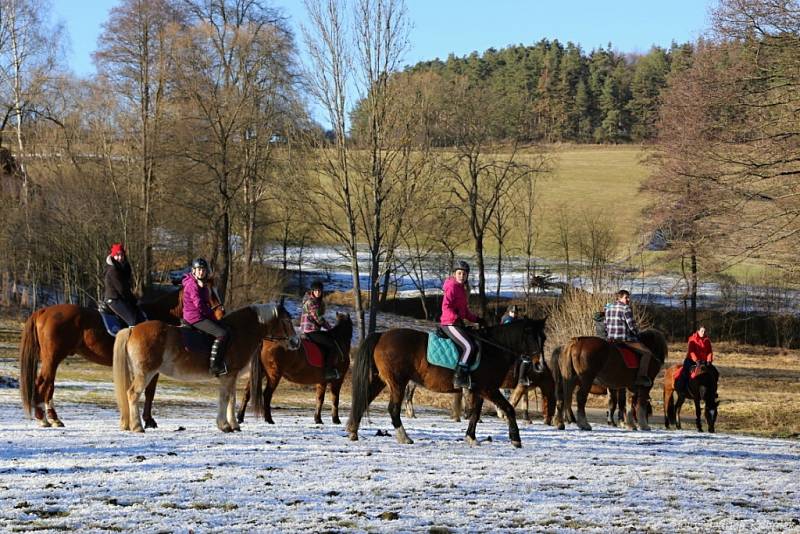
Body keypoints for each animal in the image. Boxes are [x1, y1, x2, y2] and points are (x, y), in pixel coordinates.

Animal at [19, 282, 225, 430]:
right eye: (207, 293)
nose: (221, 313)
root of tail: (44, 310)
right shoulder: (152, 368)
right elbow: (150, 392)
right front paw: (148, 420)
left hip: (52, 358)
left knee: (47, 385)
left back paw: (49, 418)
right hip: (52, 358)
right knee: (44, 384)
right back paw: (46, 418)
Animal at [112, 304, 296, 434]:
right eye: (287, 321)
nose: (296, 342)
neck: (239, 332)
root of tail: (132, 329)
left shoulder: (232, 376)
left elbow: (232, 398)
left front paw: (234, 425)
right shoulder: (228, 376)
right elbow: (225, 398)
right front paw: (224, 425)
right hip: (145, 373)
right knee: (133, 394)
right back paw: (137, 426)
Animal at [346, 320, 548, 450]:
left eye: (544, 338)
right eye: (531, 338)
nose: (540, 366)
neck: (493, 349)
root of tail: (382, 335)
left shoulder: (478, 390)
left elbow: (475, 414)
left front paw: (471, 438)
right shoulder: (488, 388)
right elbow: (508, 409)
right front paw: (516, 439)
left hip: (380, 380)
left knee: (363, 400)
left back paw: (352, 431)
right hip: (398, 382)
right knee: (393, 409)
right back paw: (404, 438)